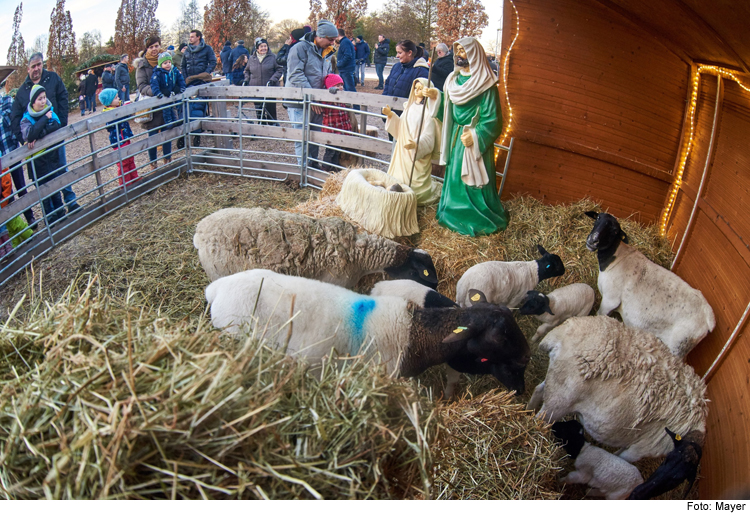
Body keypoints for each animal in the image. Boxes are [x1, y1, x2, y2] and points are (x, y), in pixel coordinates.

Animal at [524, 318, 708, 462]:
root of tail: (563, 332)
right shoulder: (640, 449)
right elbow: (623, 459)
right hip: (559, 401)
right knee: (540, 421)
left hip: (556, 382)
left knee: (538, 391)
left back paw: (527, 410)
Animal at [588, 211, 716, 358]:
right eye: (598, 218)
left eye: (615, 231)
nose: (593, 240)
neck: (616, 258)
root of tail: (708, 316)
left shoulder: (610, 300)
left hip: (679, 346)